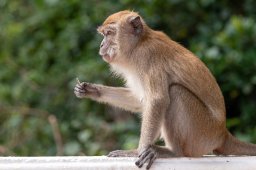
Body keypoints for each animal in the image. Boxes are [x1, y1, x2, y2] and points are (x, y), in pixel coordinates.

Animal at [73, 10, 256, 169]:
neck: (139, 43)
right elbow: (139, 101)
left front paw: (136, 151)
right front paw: (92, 90)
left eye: (109, 33)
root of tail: (222, 133)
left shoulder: (147, 56)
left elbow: (157, 100)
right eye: (104, 35)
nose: (102, 44)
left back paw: (173, 152)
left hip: (202, 134)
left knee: (175, 92)